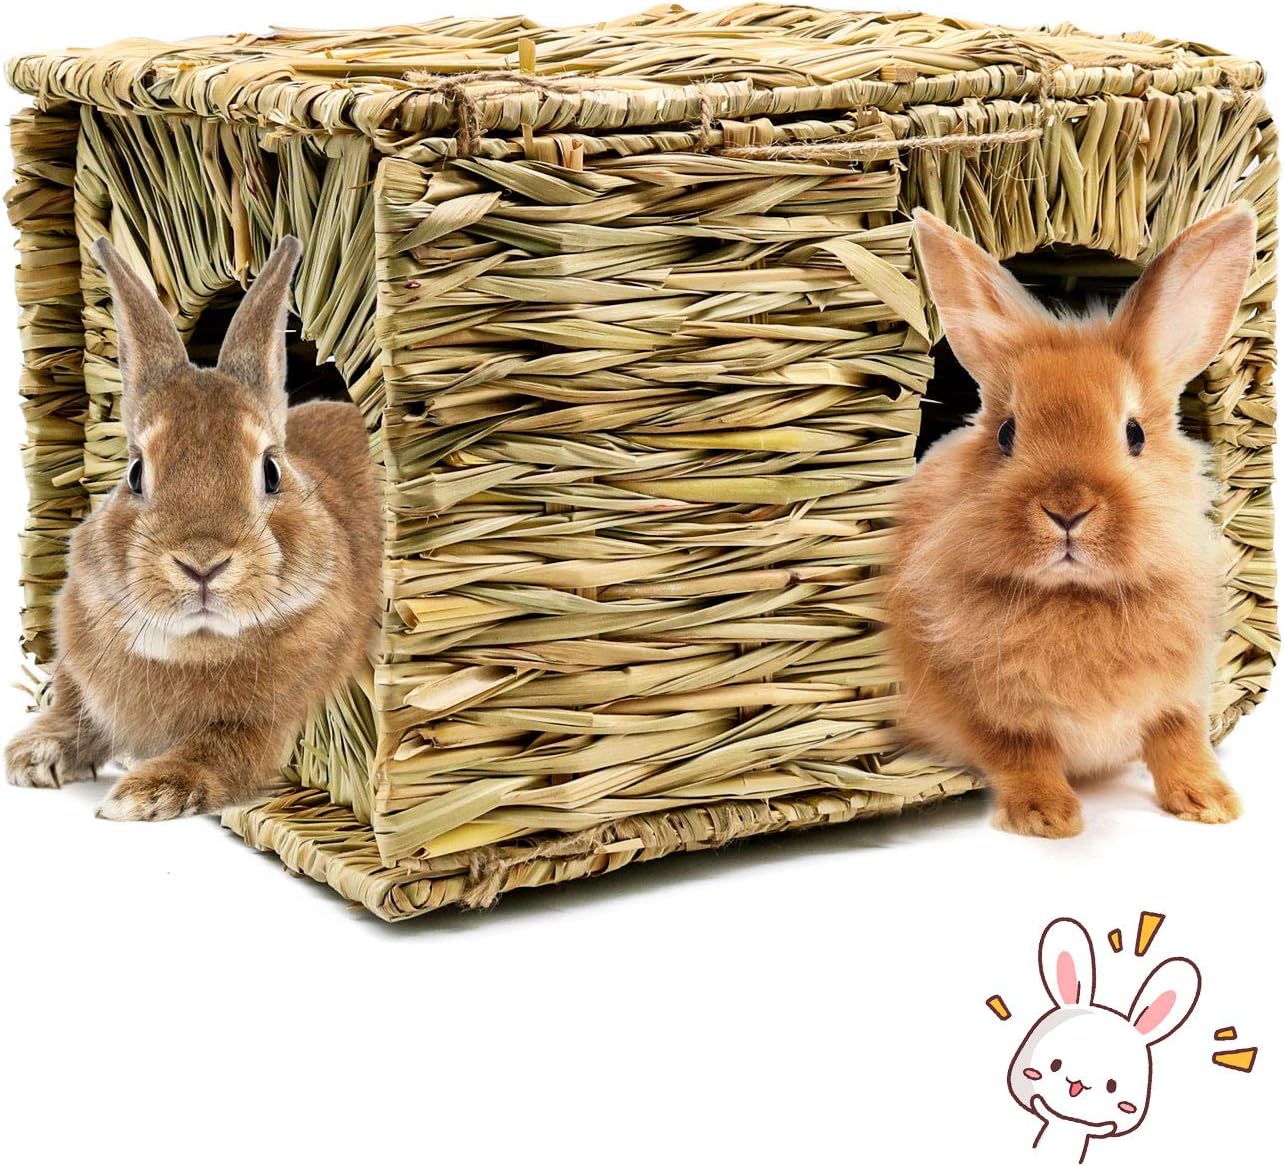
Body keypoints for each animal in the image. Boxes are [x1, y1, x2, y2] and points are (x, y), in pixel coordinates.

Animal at [4, 235, 382, 820]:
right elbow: (75, 711)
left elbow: (219, 751)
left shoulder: (265, 725)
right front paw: (33, 755)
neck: (194, 645)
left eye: (271, 471)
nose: (202, 564)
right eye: (135, 473)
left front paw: (142, 796)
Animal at [889, 204, 1258, 838]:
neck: (1077, 596)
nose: (1067, 510)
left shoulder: (1181, 694)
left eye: (1135, 434)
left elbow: (1179, 741)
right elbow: (1022, 752)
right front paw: (1047, 817)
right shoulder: (984, 710)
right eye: (1006, 434)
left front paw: (1211, 804)